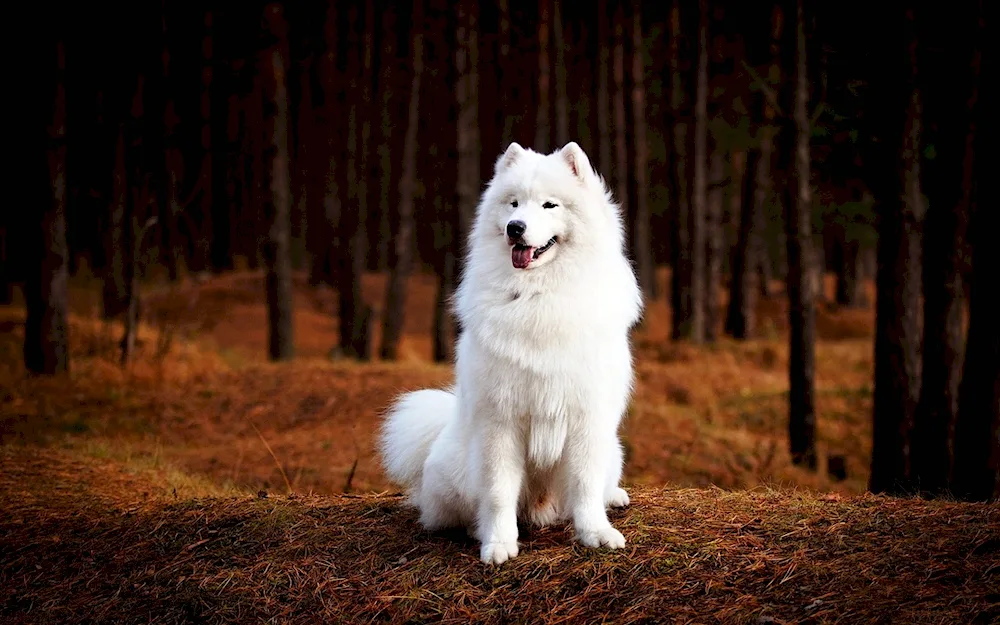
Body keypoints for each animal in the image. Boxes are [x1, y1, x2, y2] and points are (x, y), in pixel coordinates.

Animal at [378, 141, 644, 564]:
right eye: (513, 204)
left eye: (549, 205)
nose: (514, 227)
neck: (539, 295)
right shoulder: (501, 421)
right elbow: (499, 491)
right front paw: (499, 543)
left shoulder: (587, 417)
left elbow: (585, 485)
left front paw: (595, 533)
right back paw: (474, 527)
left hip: (612, 448)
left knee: (600, 483)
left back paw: (614, 496)